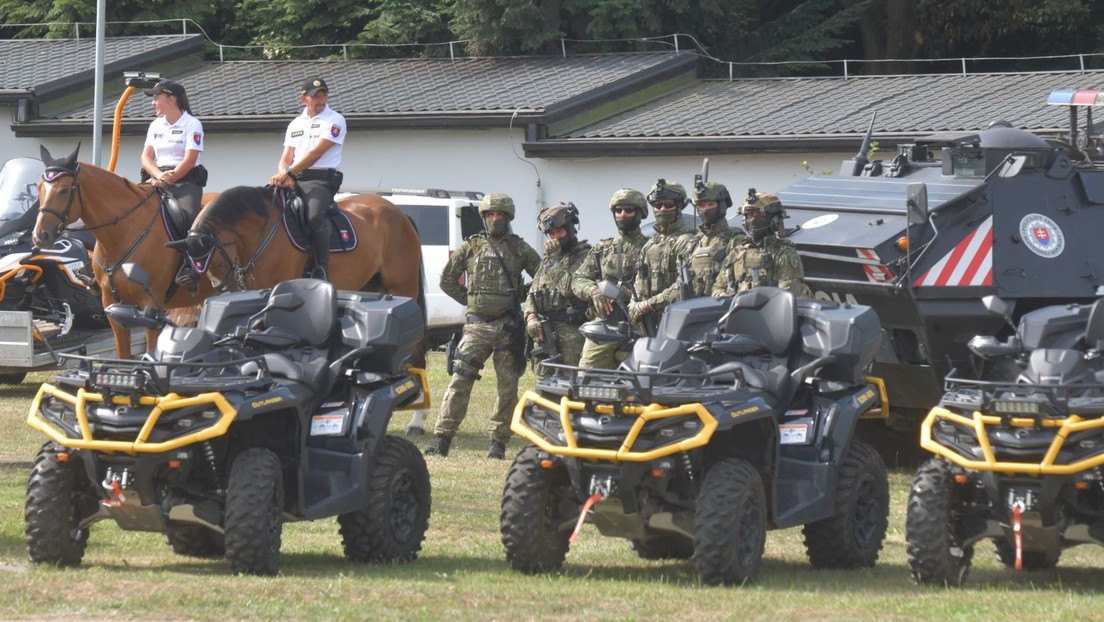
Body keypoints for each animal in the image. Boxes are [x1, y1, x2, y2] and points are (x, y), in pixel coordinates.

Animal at [32, 145, 215, 357]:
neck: (122, 234)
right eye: (39, 188)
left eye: (63, 190)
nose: (40, 236)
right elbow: (123, 357)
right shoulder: (113, 308)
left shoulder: (152, 308)